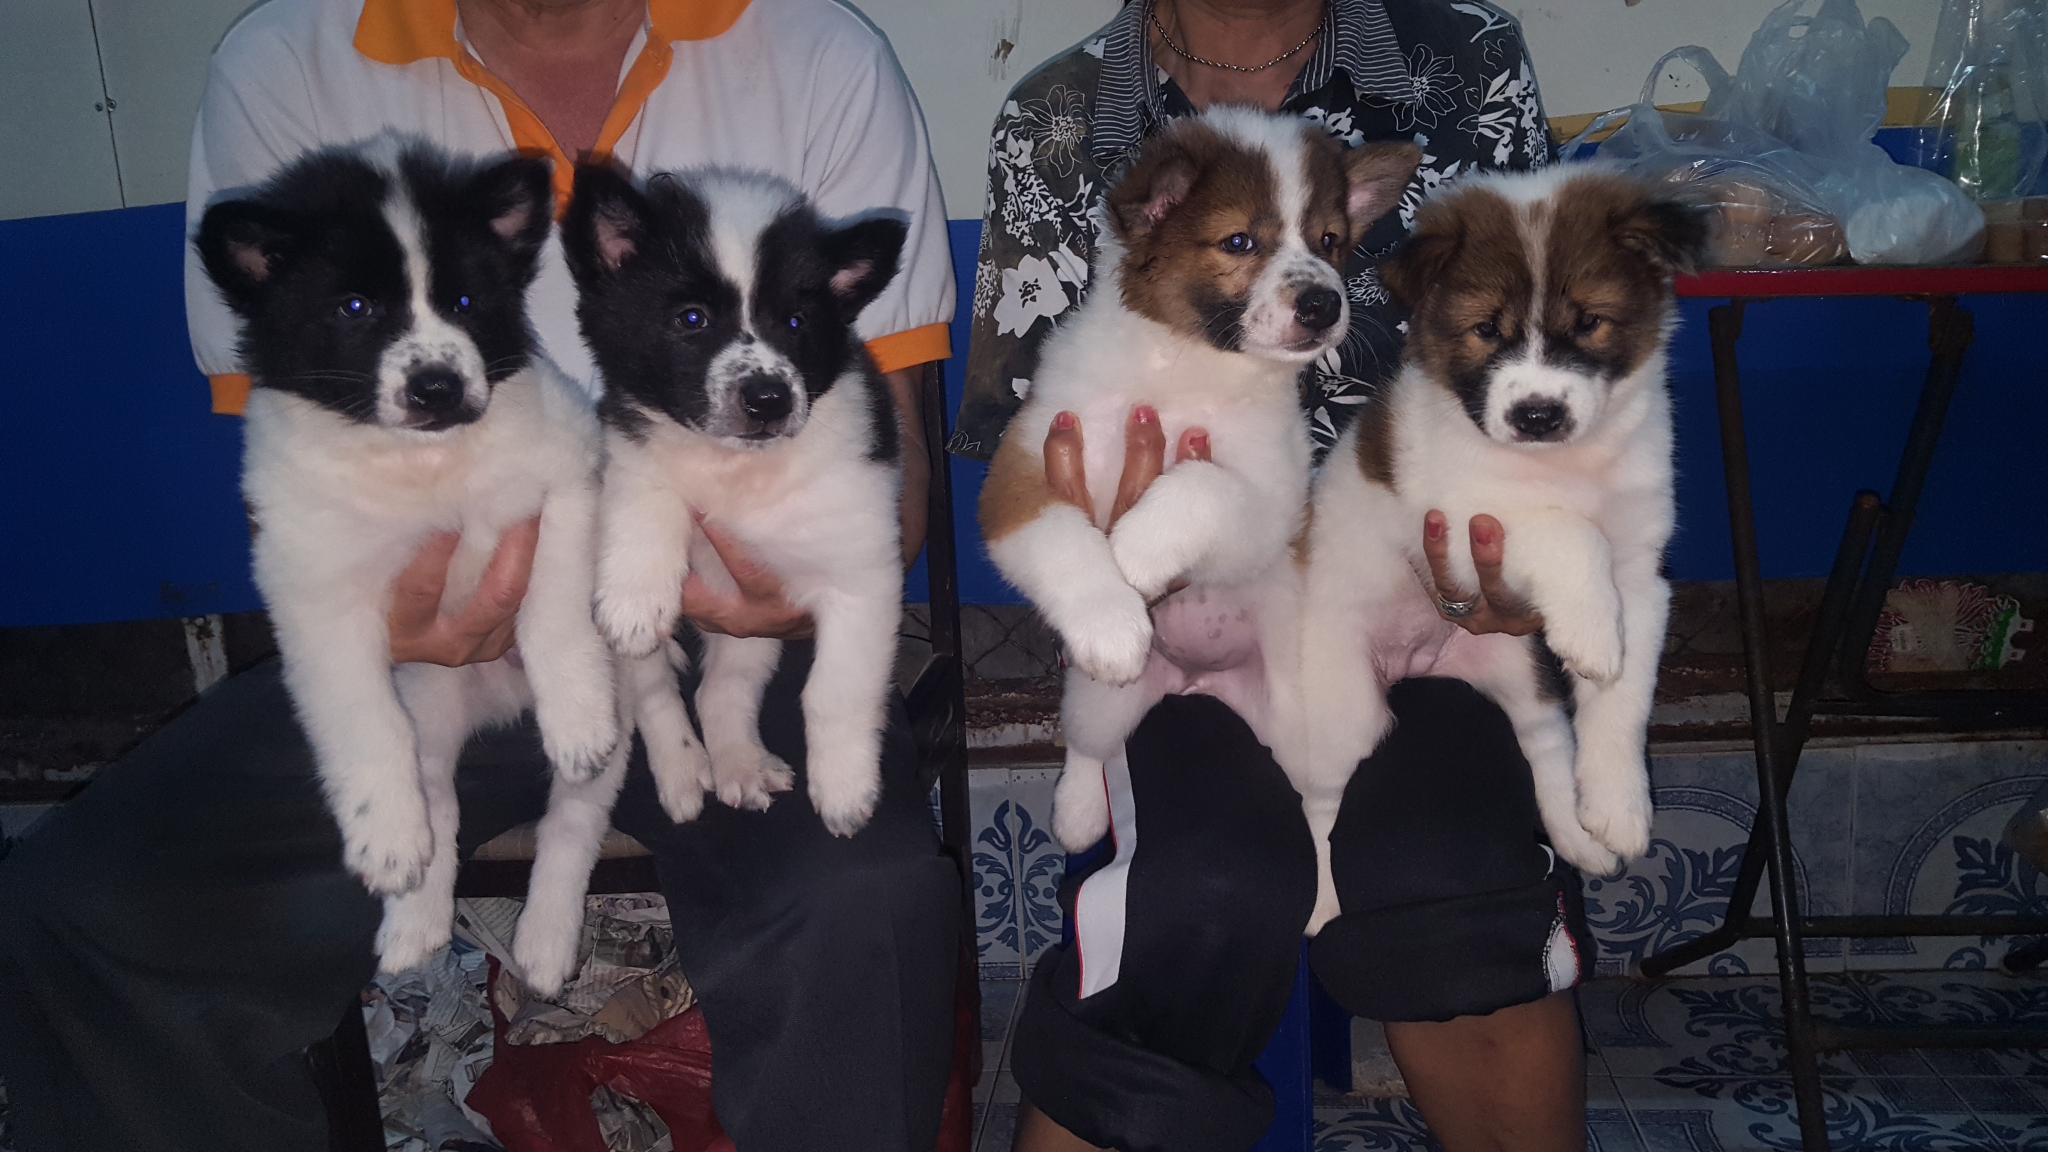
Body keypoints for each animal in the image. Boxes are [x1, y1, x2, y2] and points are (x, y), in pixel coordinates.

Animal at [197, 138, 670, 993]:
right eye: (354, 309)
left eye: (463, 301)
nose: (438, 386)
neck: (426, 463)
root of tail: (497, 704)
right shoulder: (314, 589)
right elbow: (358, 717)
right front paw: (386, 842)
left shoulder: (566, 485)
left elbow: (554, 612)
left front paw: (574, 713)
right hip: (430, 705)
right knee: (441, 804)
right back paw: (414, 923)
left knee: (572, 818)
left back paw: (545, 942)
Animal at [560, 164, 907, 839]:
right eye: (691, 318)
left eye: (796, 323)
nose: (769, 399)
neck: (737, 469)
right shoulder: (628, 444)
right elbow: (648, 495)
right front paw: (636, 595)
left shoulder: (861, 577)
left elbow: (836, 690)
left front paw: (845, 789)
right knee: (655, 694)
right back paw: (683, 775)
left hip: (752, 626)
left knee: (719, 690)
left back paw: (741, 765)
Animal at [976, 107, 1420, 852]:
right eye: (1240, 241)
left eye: (1330, 242)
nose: (1325, 305)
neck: (1186, 366)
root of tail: (1200, 684)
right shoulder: (1022, 471)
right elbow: (1061, 535)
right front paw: (1107, 612)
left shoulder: (1271, 503)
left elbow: (1203, 489)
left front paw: (1134, 551)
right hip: (1100, 699)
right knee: (1090, 745)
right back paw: (1077, 812)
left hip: (1316, 730)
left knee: (1321, 814)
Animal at [1292, 165, 1706, 930]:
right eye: (1486, 329)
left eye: (1588, 322)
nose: (1537, 414)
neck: (1566, 466)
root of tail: (1418, 665)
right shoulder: (1460, 524)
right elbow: (1563, 530)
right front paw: (1592, 633)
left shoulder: (1641, 576)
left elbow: (1623, 700)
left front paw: (1619, 804)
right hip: (1342, 709)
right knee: (1322, 802)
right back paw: (1326, 903)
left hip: (1518, 667)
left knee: (1546, 741)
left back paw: (1576, 833)